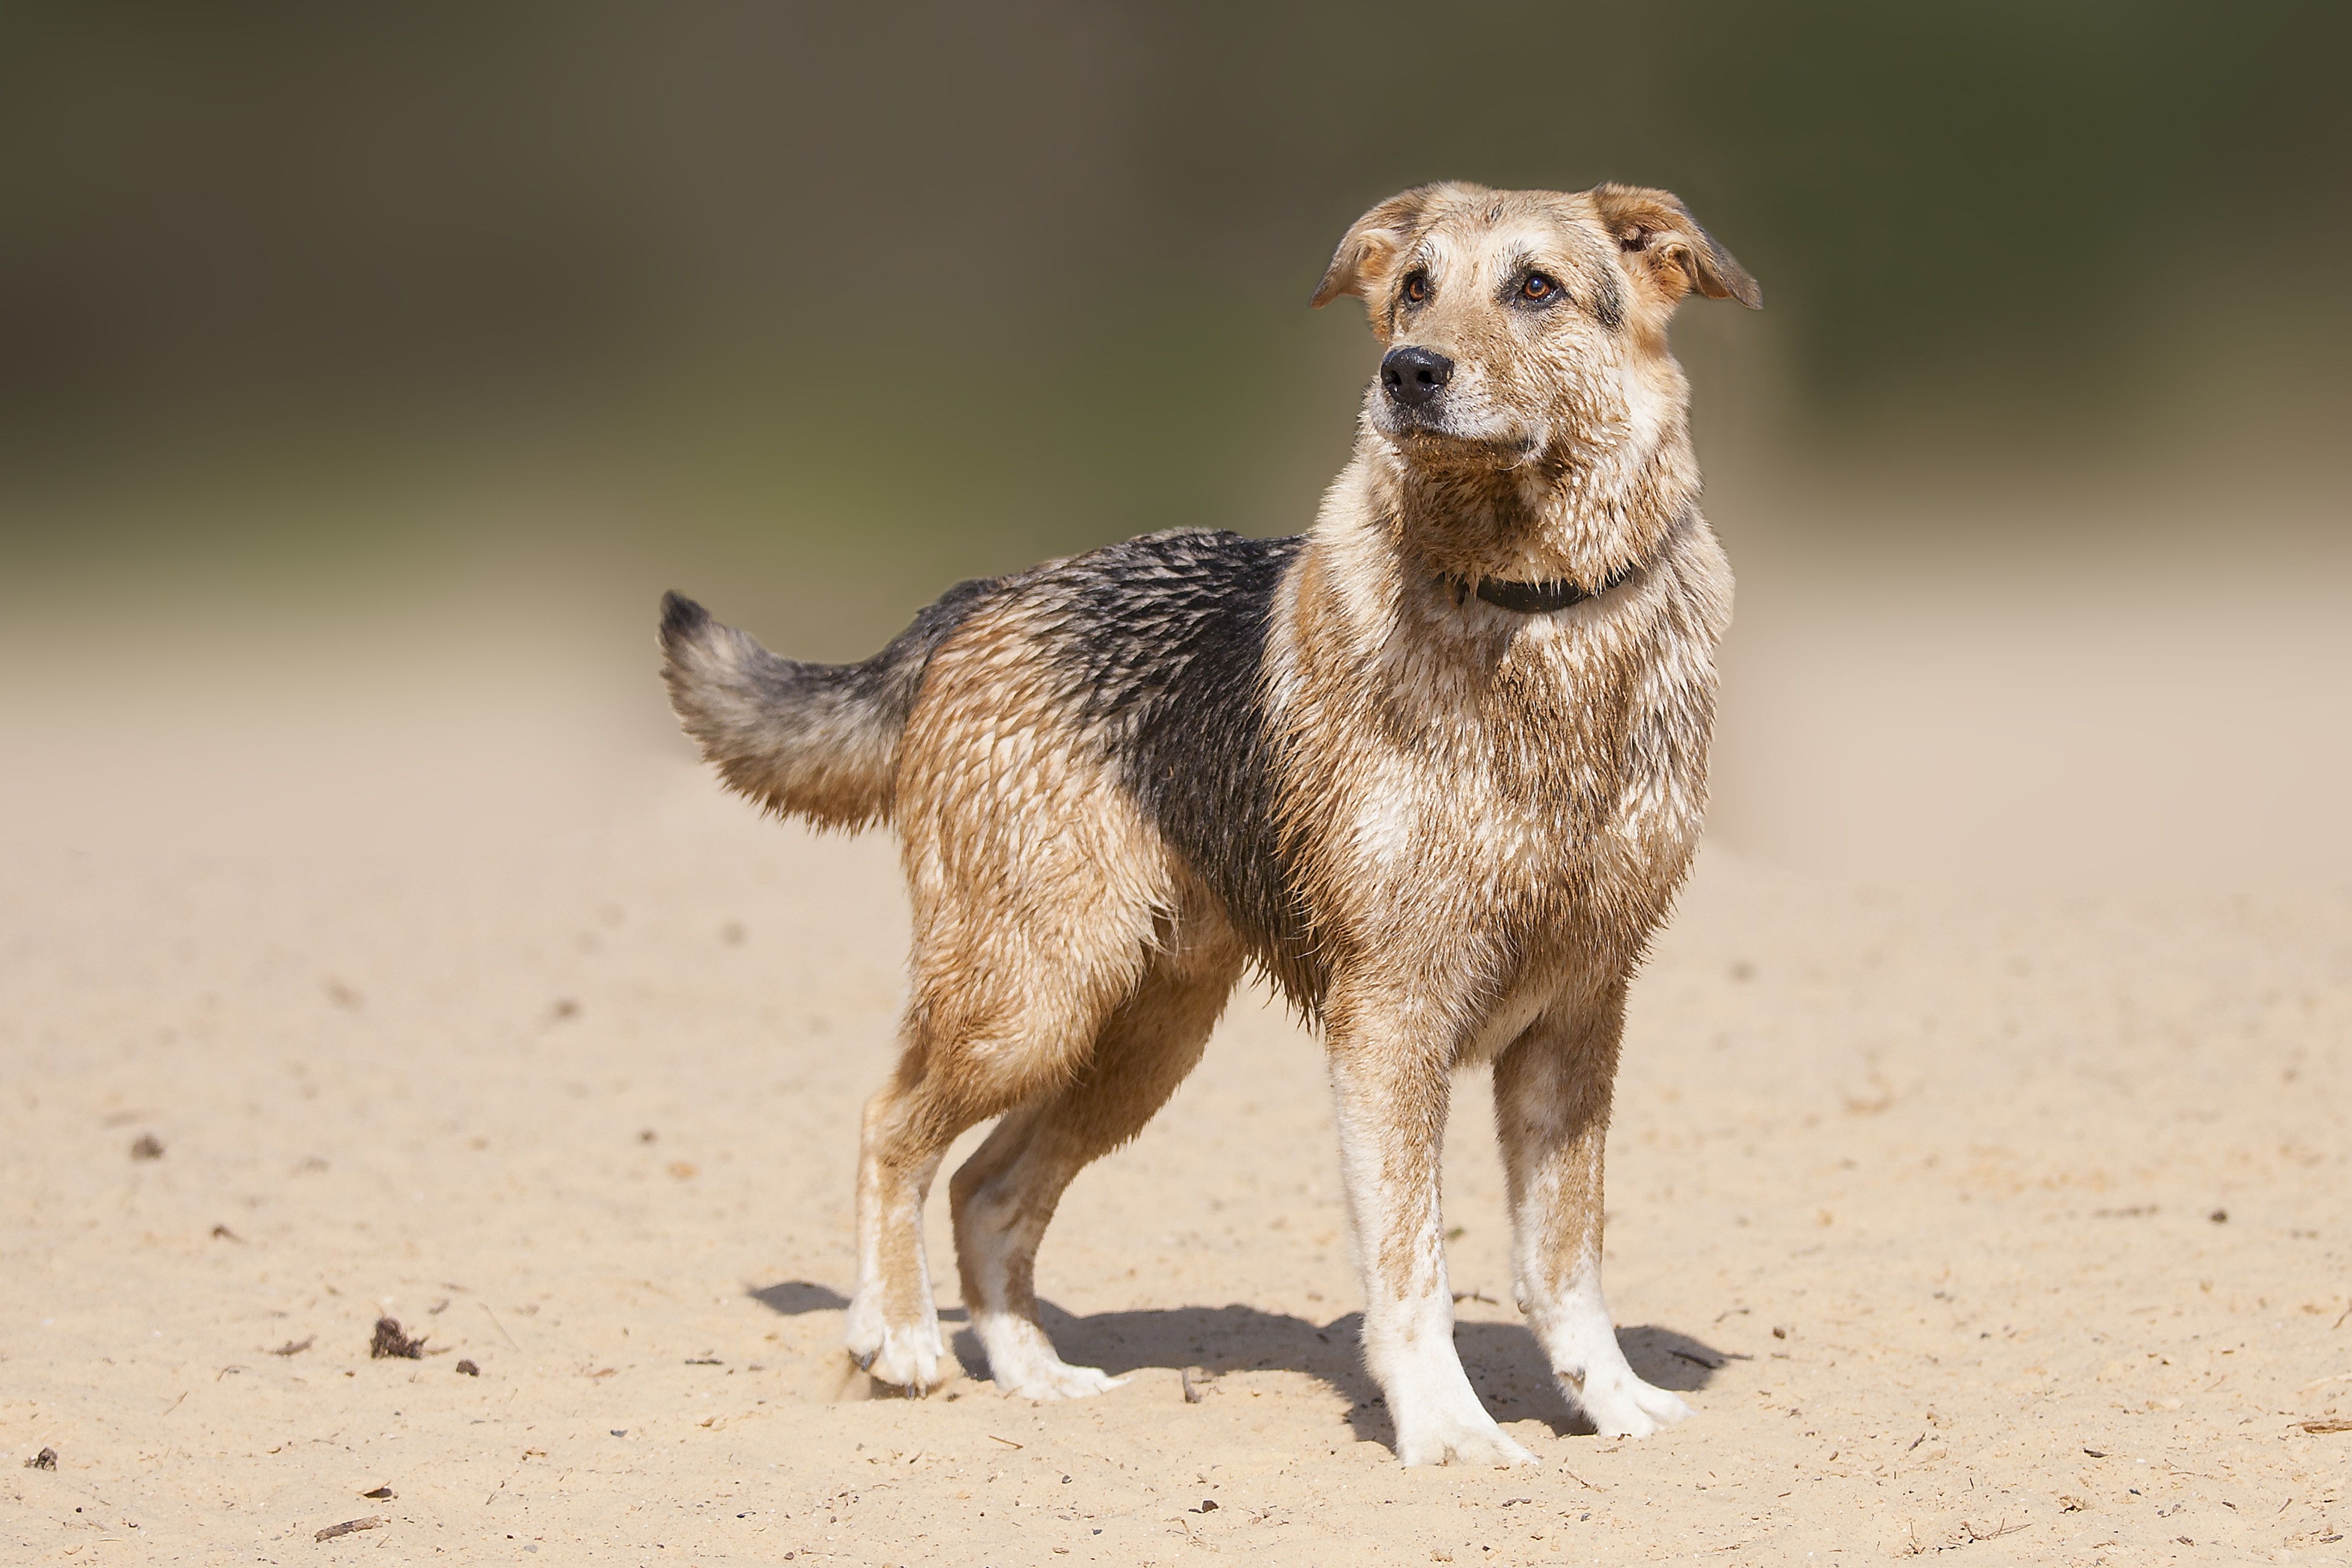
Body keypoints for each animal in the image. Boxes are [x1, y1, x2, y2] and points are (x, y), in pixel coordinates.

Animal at [653, 185, 1759, 1476]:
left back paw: (1033, 1373)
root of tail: (981, 599)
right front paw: (1446, 1431)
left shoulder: (1580, 1015)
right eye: (1414, 289)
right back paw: (902, 1341)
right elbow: (1411, 1269)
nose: (1406, 372)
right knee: (891, 1128)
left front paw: (1611, 1401)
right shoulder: (1392, 1018)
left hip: (1140, 1038)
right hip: (1031, 999)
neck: (1529, 614)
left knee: (988, 1190)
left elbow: (1564, 1256)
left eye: (1535, 286)